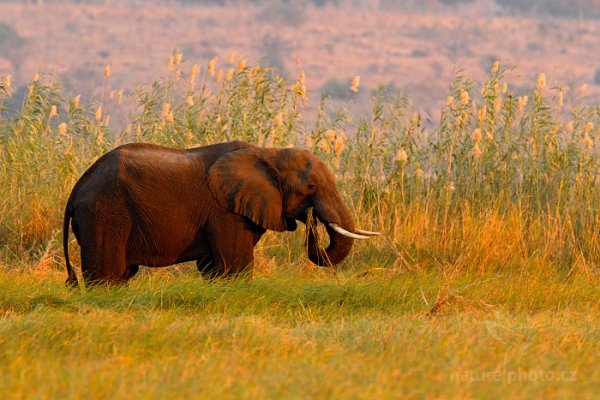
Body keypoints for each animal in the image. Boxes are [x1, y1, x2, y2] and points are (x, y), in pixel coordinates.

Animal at [62, 139, 380, 286]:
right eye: (311, 186)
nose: (313, 220)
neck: (268, 152)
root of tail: (77, 187)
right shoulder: (225, 212)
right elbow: (234, 265)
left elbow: (213, 267)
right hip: (104, 213)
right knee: (107, 274)